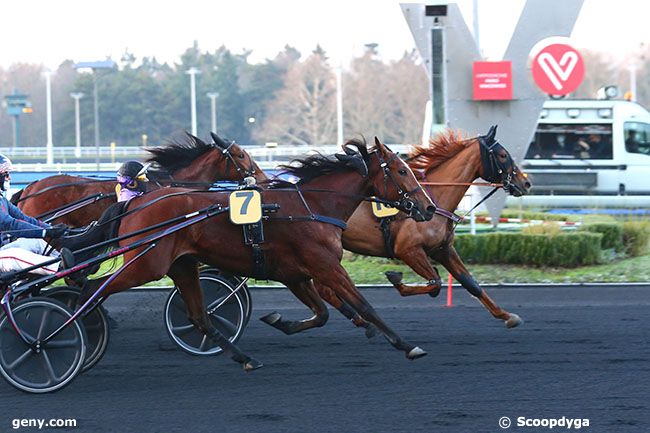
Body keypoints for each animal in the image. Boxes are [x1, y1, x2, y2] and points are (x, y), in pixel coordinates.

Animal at [63, 138, 436, 368]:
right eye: (402, 170)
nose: (428, 207)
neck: (312, 207)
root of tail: (135, 202)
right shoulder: (327, 266)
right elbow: (364, 306)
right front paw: (406, 345)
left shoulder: (296, 275)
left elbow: (322, 314)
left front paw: (281, 321)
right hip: (146, 265)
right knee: (91, 290)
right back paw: (72, 331)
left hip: (181, 265)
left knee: (199, 317)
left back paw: (245, 358)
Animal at [316, 125, 532, 330]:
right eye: (503, 155)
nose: (526, 183)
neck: (434, 200)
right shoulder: (408, 250)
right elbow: (435, 282)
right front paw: (396, 279)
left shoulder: (442, 249)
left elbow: (471, 284)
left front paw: (507, 316)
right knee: (326, 289)